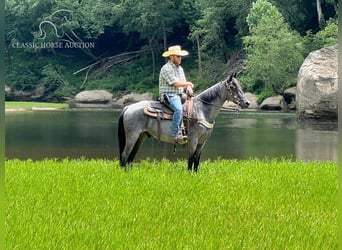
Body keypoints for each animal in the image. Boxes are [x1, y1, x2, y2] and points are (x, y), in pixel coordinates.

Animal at [119, 73, 250, 172]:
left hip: (140, 137)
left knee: (130, 157)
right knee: (125, 155)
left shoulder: (202, 141)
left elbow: (197, 160)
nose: (247, 103)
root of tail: (128, 108)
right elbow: (191, 159)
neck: (202, 109)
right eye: (233, 86)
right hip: (132, 136)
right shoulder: (193, 140)